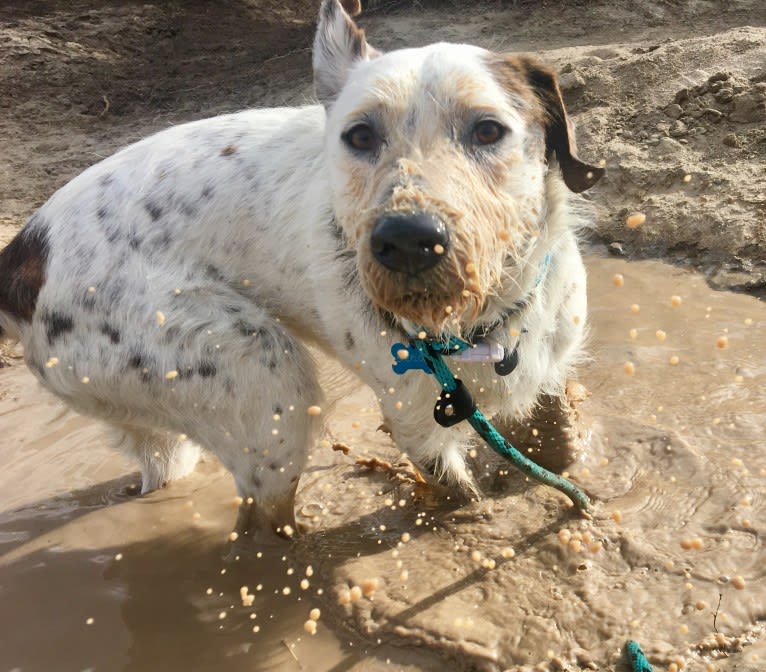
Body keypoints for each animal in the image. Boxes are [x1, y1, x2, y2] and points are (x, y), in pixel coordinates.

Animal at [0, 0, 604, 536]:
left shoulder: (549, 364)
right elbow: (458, 494)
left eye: (487, 130)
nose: (407, 240)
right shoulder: (413, 419)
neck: (476, 328)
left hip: (152, 416)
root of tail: (21, 254)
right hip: (260, 385)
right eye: (360, 136)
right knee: (260, 526)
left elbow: (558, 443)